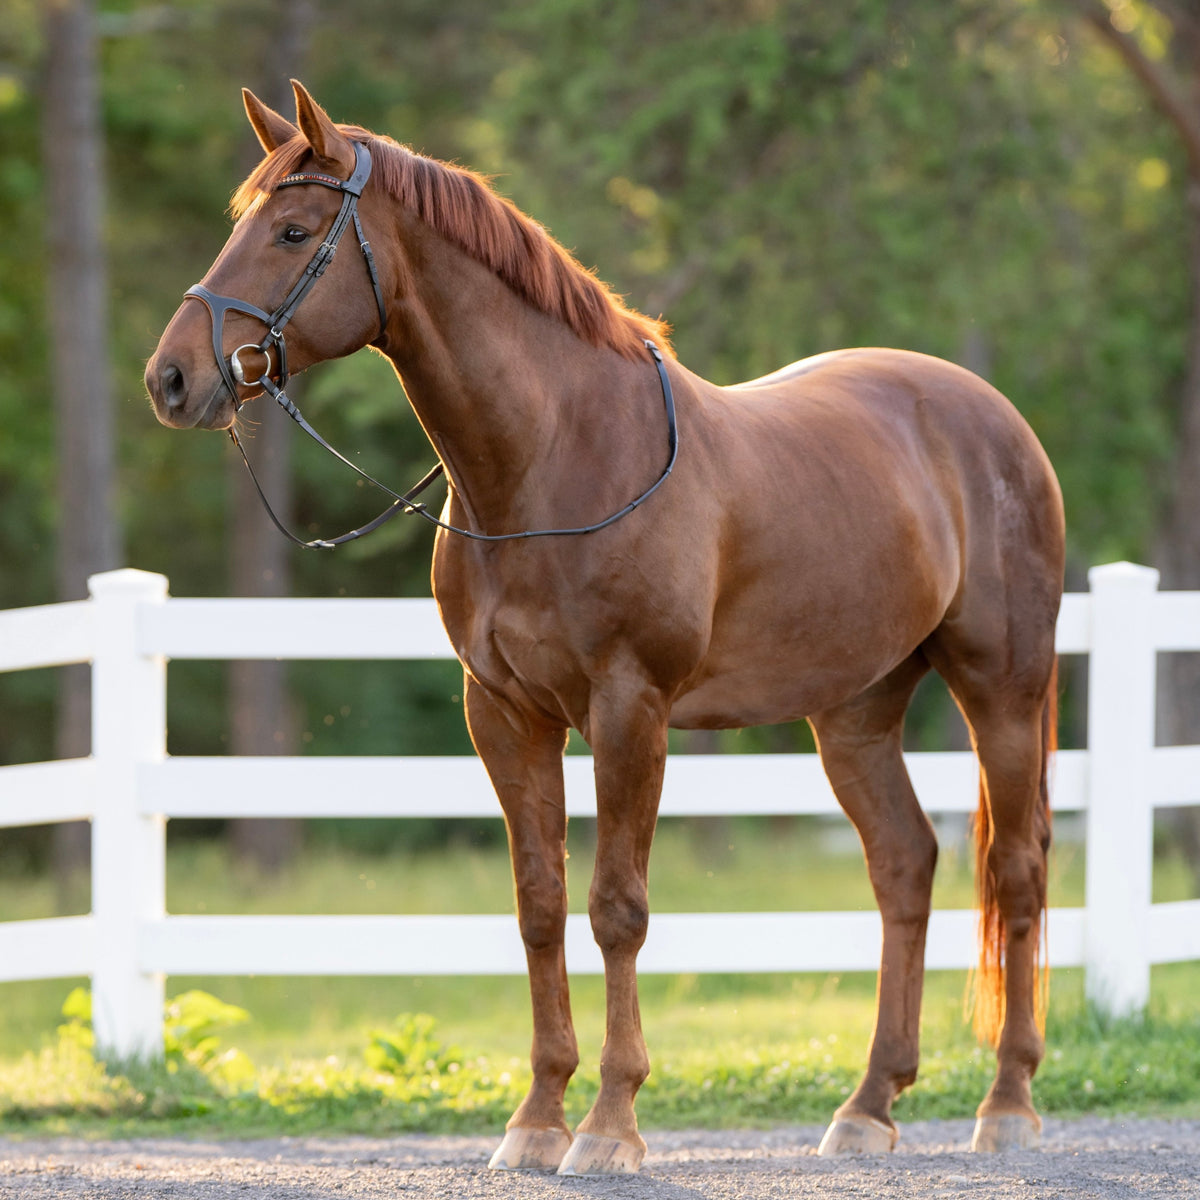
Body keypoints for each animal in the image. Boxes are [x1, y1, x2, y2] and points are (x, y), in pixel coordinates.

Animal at [147, 84, 1060, 1171]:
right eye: (240, 221)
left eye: (291, 231)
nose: (171, 379)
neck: (552, 458)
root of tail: (992, 416)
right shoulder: (504, 713)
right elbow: (540, 906)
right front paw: (537, 1119)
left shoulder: (630, 709)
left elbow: (617, 910)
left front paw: (612, 1123)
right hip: (855, 710)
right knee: (905, 864)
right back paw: (868, 1105)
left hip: (1001, 686)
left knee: (1015, 868)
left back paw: (1006, 1103)